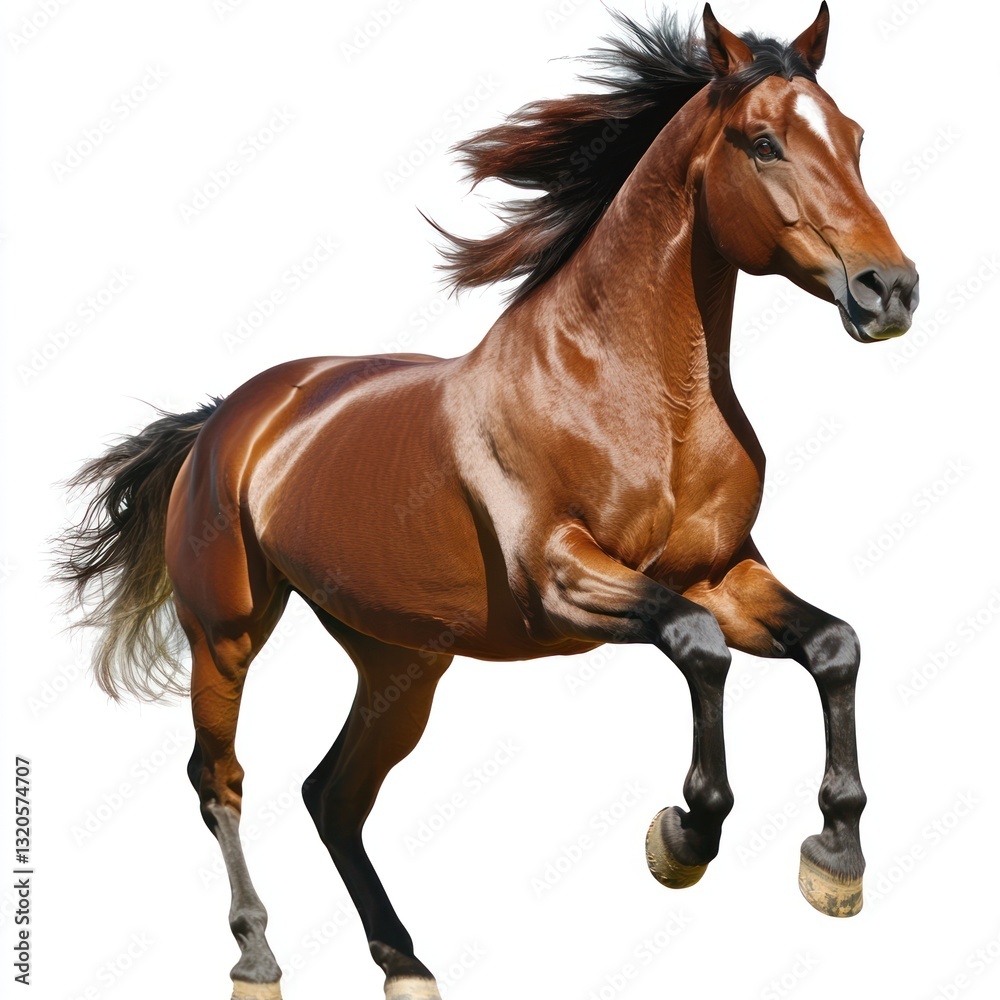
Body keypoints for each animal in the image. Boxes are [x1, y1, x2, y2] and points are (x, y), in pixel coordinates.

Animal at [56, 4, 918, 998]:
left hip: (403, 660)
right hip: (226, 633)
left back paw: (404, 961)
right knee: (220, 779)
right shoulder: (563, 579)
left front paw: (835, 861)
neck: (636, 397)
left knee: (333, 794)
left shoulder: (723, 572)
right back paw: (257, 955)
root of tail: (229, 418)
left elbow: (834, 645)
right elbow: (698, 649)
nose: (890, 289)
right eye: (765, 141)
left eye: (856, 137)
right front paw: (684, 836)